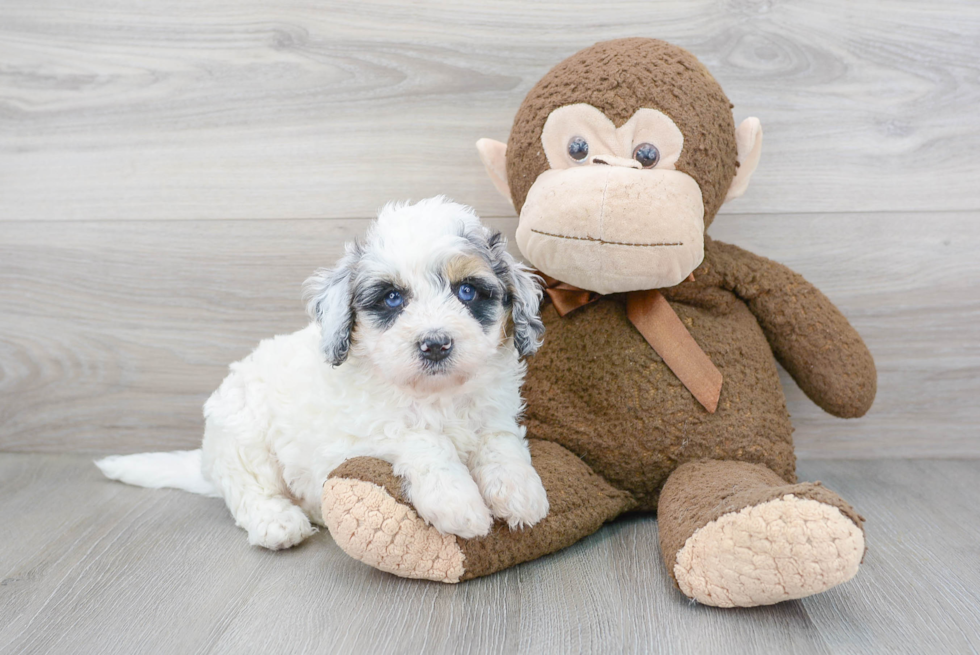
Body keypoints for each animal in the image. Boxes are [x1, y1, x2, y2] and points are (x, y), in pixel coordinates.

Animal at [98, 197, 552, 552]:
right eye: (392, 298)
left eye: (467, 292)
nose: (436, 343)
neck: (437, 395)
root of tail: (207, 461)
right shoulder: (364, 431)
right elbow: (423, 440)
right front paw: (459, 503)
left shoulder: (495, 414)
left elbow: (500, 444)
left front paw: (522, 493)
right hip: (243, 438)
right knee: (250, 489)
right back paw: (279, 523)